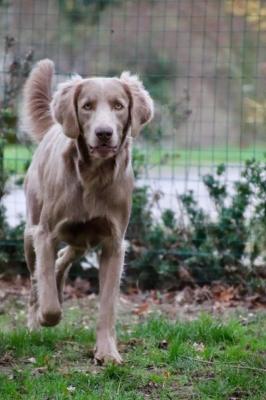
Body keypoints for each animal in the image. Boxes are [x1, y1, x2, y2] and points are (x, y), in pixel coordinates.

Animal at [22, 59, 154, 362]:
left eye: (118, 106)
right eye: (87, 106)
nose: (104, 133)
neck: (94, 176)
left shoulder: (113, 244)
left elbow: (107, 306)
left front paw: (107, 352)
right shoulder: (45, 234)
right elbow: (48, 299)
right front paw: (47, 316)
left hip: (83, 239)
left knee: (62, 259)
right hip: (30, 231)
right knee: (36, 279)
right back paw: (34, 323)